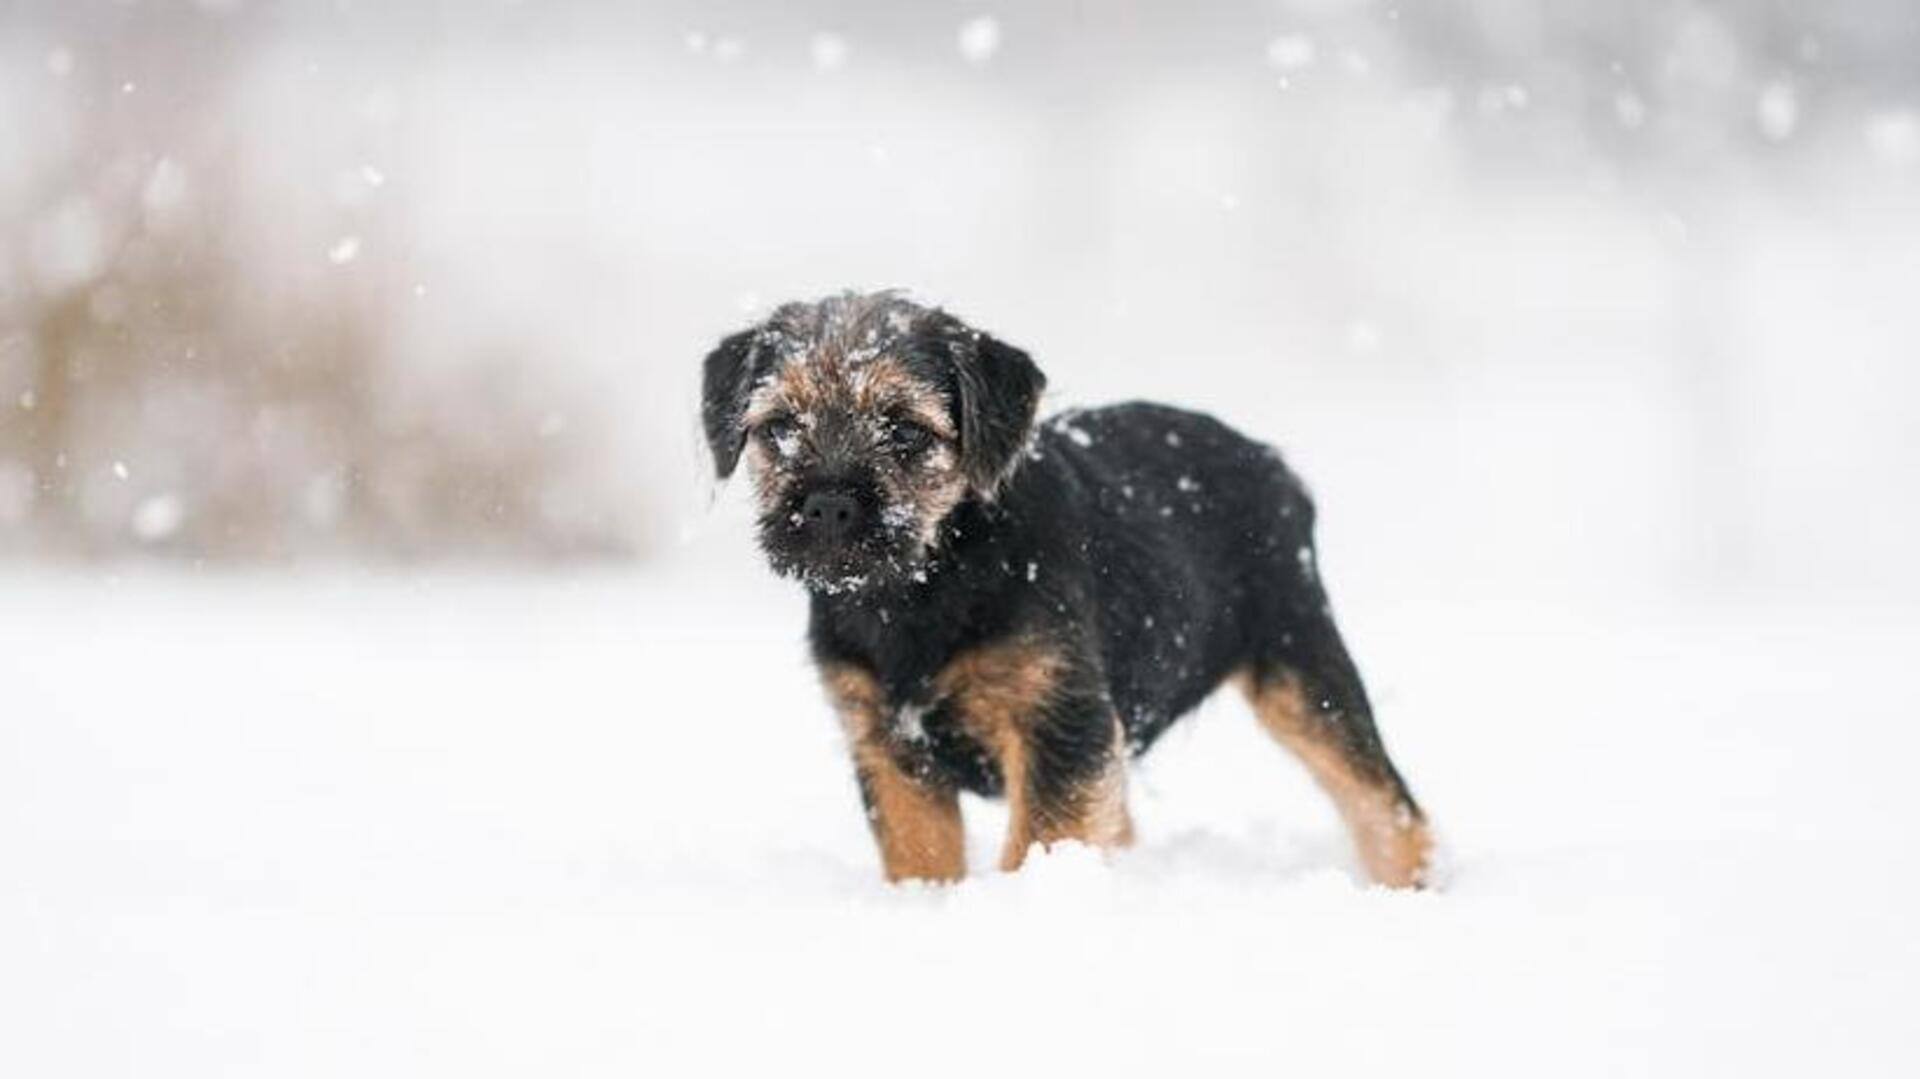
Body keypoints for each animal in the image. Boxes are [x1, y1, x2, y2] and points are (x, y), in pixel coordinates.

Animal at [698, 289, 1436, 887]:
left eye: (905, 428)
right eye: (779, 427)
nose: (827, 504)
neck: (923, 585)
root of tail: (1274, 463)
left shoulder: (1059, 720)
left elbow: (1043, 837)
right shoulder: (889, 745)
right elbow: (920, 852)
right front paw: (927, 904)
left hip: (1300, 659)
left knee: (1384, 802)